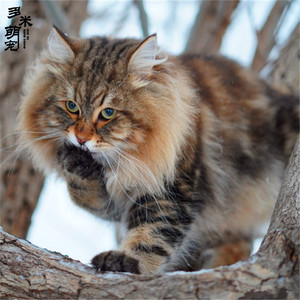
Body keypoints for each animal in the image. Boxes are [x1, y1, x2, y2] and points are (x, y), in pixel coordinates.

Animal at [17, 27, 298, 274]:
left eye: (108, 113)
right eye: (72, 106)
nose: (81, 138)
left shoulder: (171, 189)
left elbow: (152, 234)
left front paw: (124, 260)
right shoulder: (115, 203)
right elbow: (84, 194)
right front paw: (77, 165)